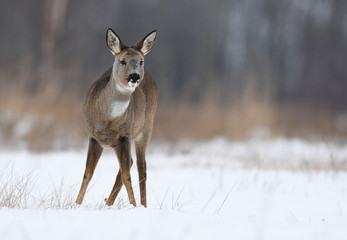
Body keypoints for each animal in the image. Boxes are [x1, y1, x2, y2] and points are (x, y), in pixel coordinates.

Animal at [76, 28, 159, 208]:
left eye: (141, 61)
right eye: (122, 61)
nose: (134, 76)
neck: (107, 120)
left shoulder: (124, 135)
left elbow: (127, 175)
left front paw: (134, 206)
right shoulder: (93, 136)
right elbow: (88, 173)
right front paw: (76, 203)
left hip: (146, 126)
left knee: (141, 167)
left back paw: (143, 205)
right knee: (131, 164)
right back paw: (109, 203)